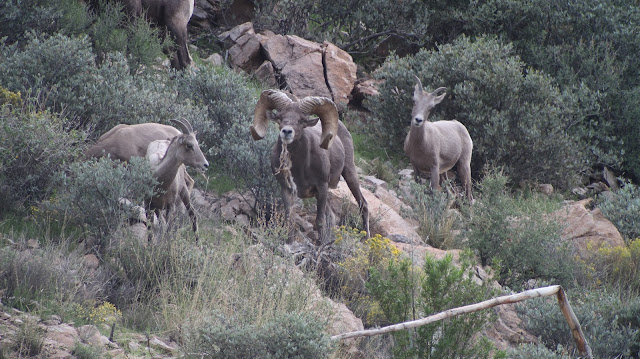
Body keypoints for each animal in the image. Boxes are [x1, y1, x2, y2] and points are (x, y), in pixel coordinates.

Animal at [250, 89, 370, 245]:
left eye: (302, 121)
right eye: (280, 118)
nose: (287, 132)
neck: (299, 168)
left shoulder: (322, 187)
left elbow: (319, 220)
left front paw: (319, 246)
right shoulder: (286, 189)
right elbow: (290, 218)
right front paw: (289, 243)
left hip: (349, 173)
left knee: (363, 204)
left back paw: (366, 239)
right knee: (332, 216)